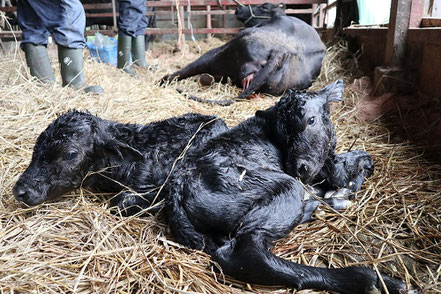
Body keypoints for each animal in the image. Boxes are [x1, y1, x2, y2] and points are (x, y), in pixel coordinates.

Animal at [160, 2, 324, 105]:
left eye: (263, 6)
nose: (238, 9)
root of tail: (281, 50)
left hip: (217, 54)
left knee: (185, 71)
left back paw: (163, 81)